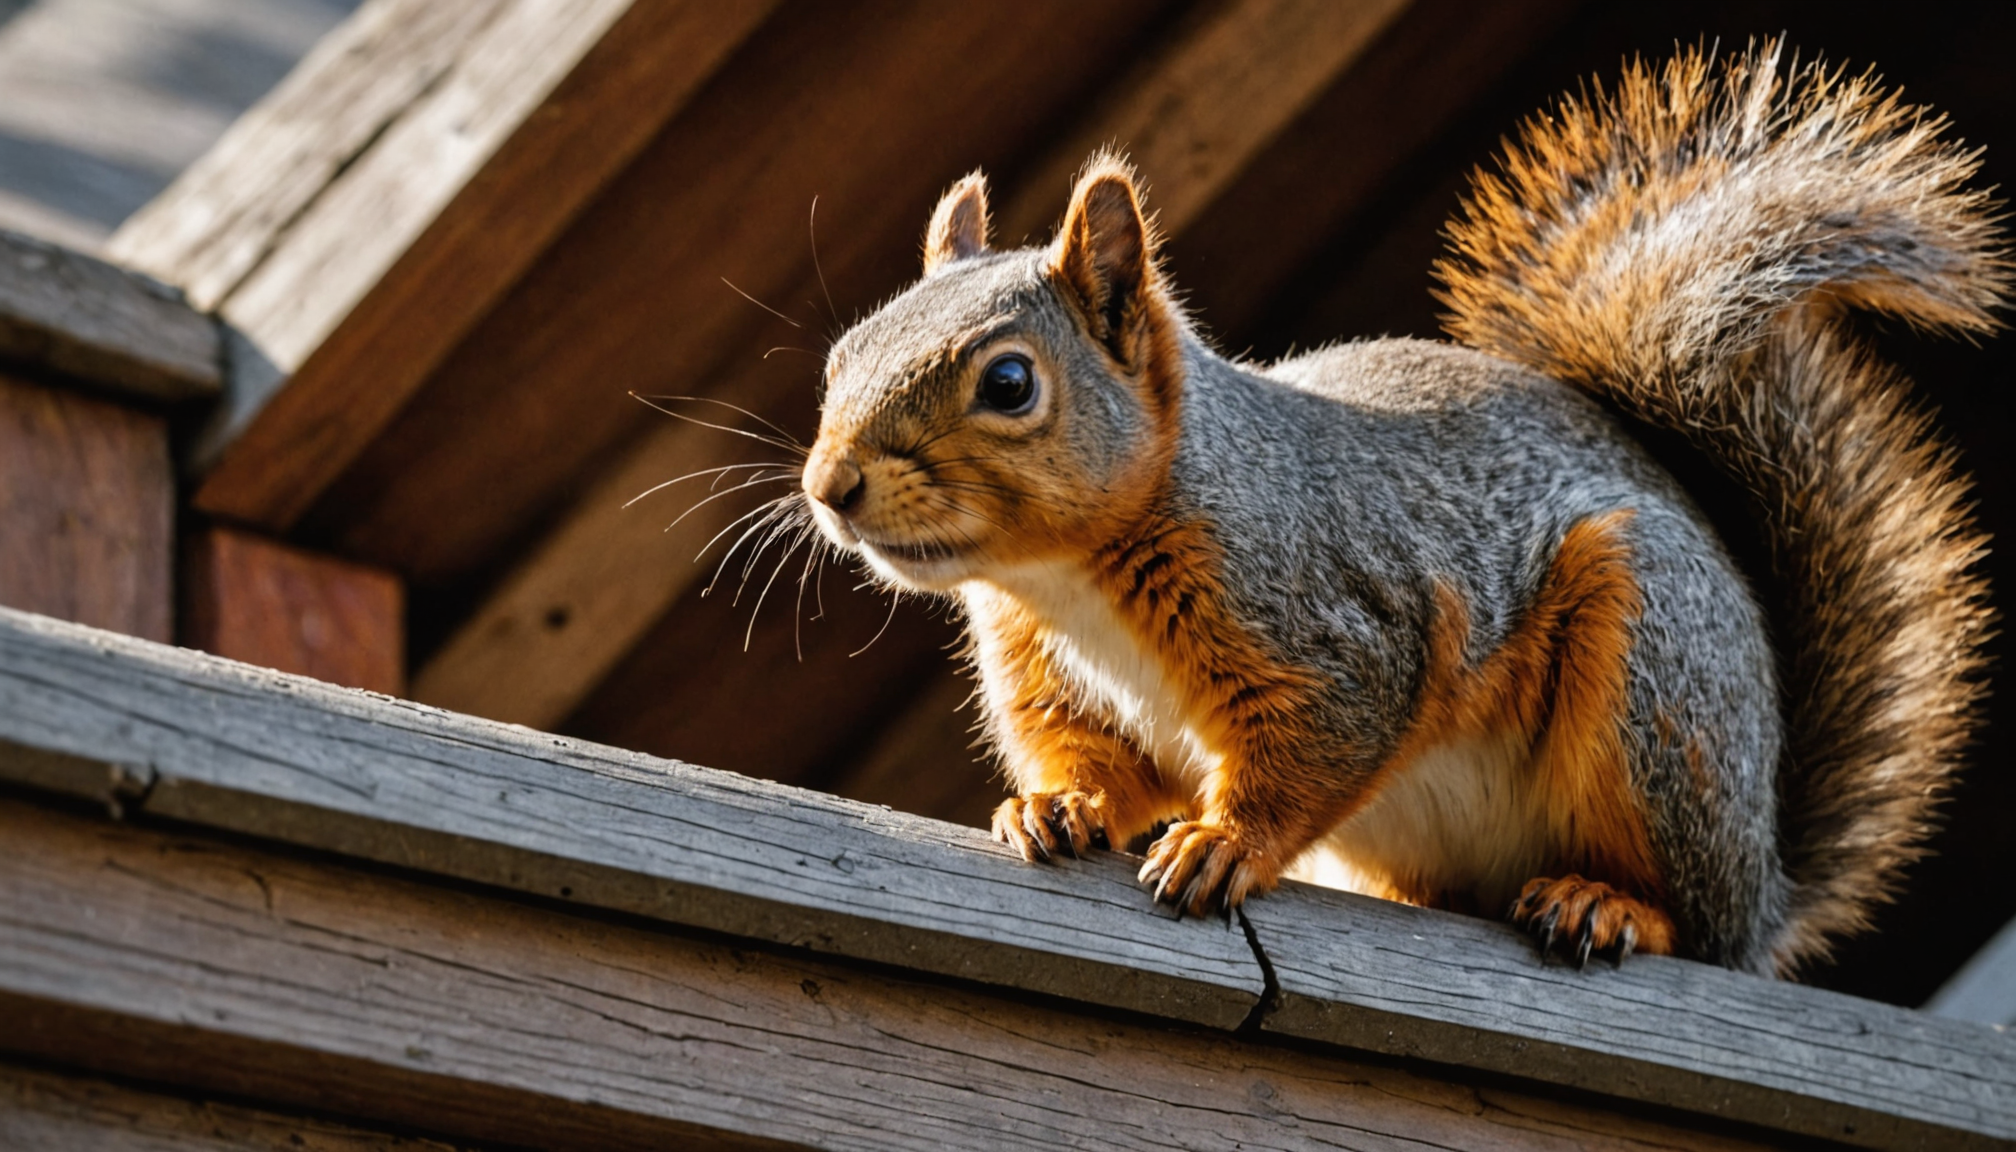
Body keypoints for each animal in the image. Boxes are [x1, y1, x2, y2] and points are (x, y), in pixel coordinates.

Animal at [797, 42, 2004, 975]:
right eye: (843, 355)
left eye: (1009, 383)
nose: (829, 486)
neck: (1069, 578)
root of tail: (1768, 881)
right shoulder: (1052, 677)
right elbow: (1097, 761)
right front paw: (1056, 808)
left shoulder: (1340, 627)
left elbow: (1311, 755)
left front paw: (1221, 846)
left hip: (1658, 682)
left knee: (1695, 926)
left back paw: (1609, 904)